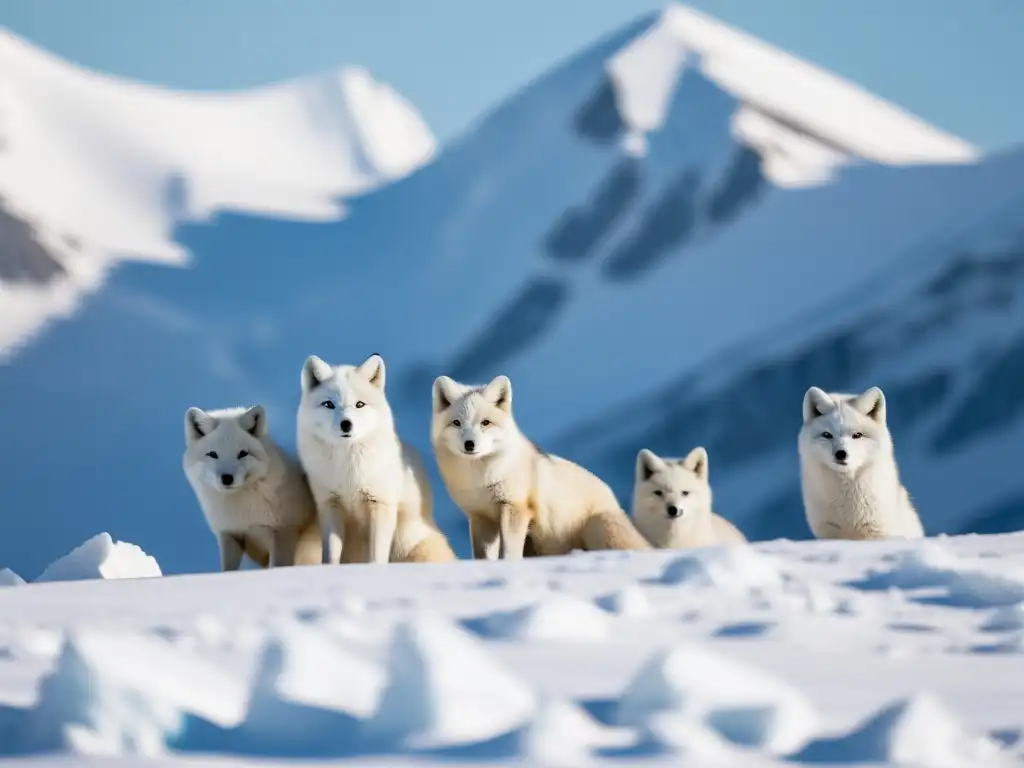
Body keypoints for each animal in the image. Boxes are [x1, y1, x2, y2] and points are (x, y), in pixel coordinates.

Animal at [182, 403, 321, 573]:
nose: (227, 478)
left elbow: (278, 565)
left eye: (243, 453)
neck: (244, 512)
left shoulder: (283, 533)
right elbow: (227, 570)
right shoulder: (230, 535)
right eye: (213, 454)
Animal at [296, 354, 456, 565]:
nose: (346, 424)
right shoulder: (330, 505)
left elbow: (376, 556)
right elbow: (330, 555)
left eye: (359, 404)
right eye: (329, 404)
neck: (348, 471)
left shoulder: (380, 504)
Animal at [432, 374, 647, 561]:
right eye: (457, 423)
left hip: (599, 527)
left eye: (485, 423)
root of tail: (614, 500)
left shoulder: (515, 507)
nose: (470, 444)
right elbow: (483, 555)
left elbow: (508, 553)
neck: (481, 479)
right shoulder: (481, 517)